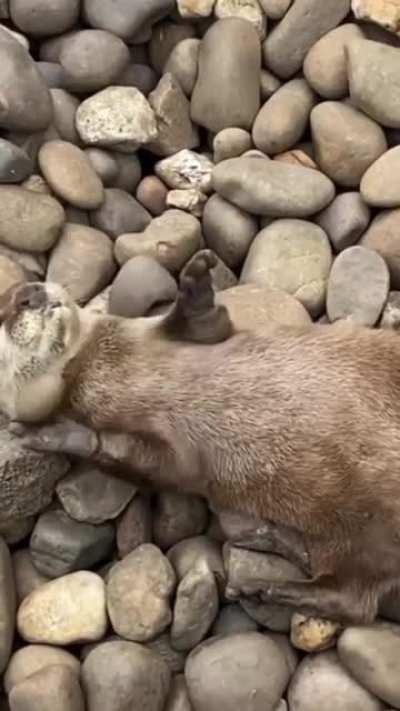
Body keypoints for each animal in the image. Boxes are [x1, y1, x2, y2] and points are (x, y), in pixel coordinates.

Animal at [4, 254, 400, 624]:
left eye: (13, 298)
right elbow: (144, 463)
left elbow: (203, 325)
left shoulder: (158, 333)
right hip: (363, 538)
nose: (27, 295)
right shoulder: (172, 459)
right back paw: (265, 569)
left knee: (353, 596)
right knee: (351, 595)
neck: (95, 368)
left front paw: (195, 282)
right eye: (2, 313)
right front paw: (51, 434)